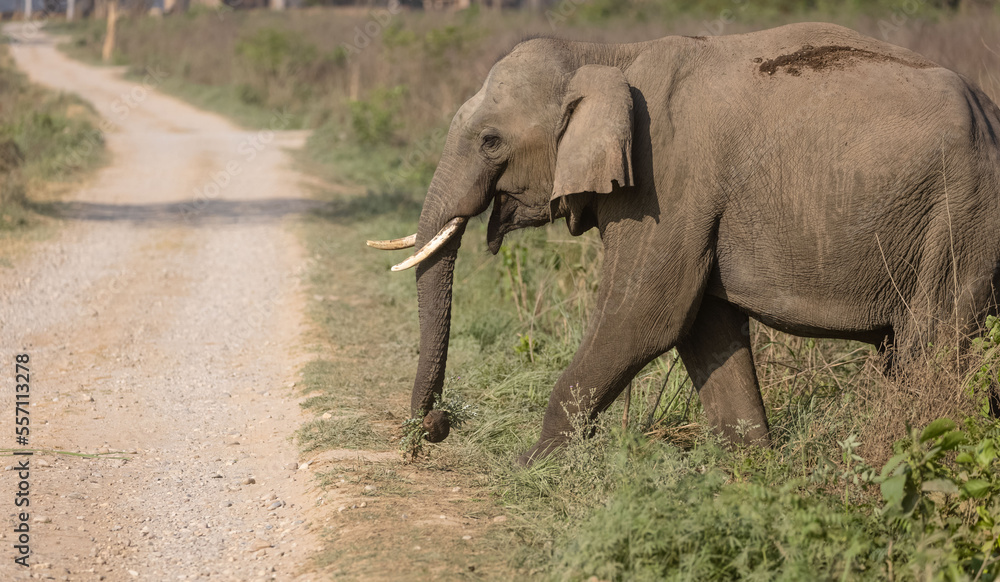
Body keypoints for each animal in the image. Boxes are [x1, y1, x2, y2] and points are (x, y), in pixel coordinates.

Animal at [368, 22, 1000, 466]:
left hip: (960, 218)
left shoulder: (668, 182)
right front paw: (749, 469)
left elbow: (646, 314)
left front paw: (529, 464)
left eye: (491, 141)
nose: (436, 428)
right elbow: (703, 325)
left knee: (931, 343)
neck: (608, 54)